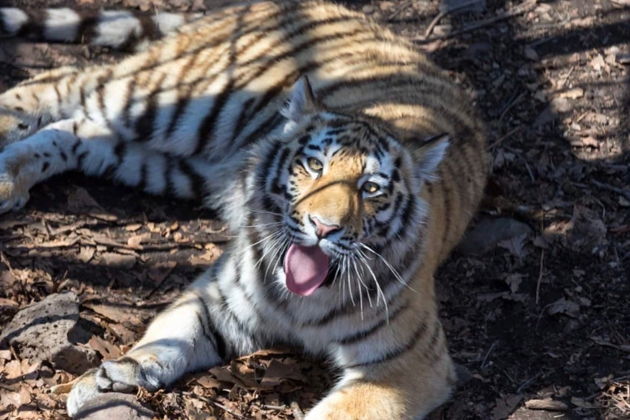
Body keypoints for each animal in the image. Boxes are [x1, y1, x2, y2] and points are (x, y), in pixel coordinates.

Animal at [0, 1, 488, 418]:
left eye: (370, 188)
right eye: (315, 165)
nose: (323, 228)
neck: (303, 302)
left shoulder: (406, 364)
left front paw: (113, 377)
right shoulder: (218, 299)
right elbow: (169, 336)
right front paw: (114, 374)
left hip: (175, 163)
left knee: (81, 129)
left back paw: (11, 174)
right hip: (178, 97)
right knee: (64, 80)